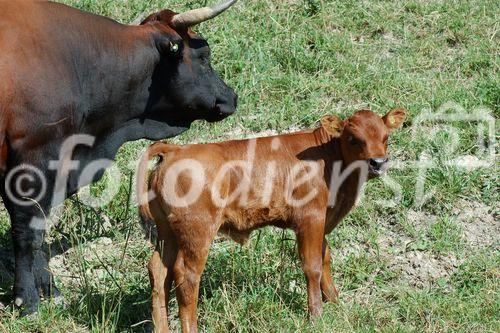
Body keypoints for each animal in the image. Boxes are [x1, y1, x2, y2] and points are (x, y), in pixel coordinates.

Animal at [137, 107, 406, 330]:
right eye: (353, 138)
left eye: (386, 138)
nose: (378, 162)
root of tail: (175, 149)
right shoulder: (310, 218)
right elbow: (313, 266)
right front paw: (316, 315)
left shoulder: (322, 221)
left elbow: (325, 256)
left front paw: (335, 302)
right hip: (197, 232)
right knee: (186, 276)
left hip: (168, 233)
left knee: (159, 272)